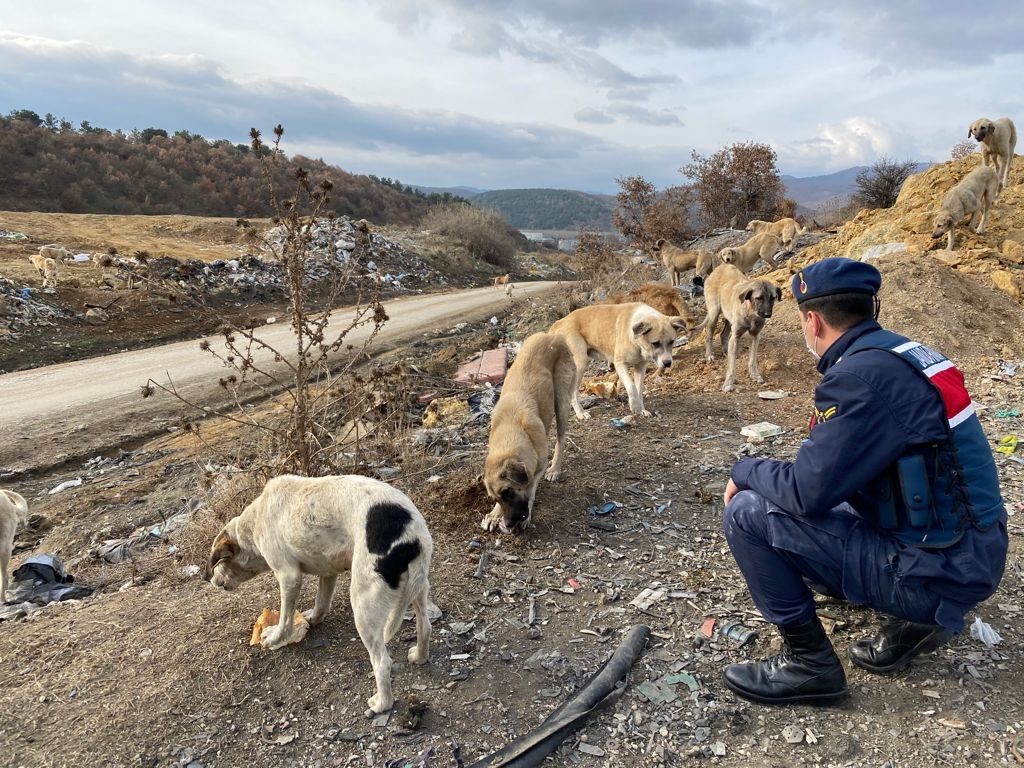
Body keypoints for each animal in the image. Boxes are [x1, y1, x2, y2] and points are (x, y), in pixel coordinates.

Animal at [205, 473, 434, 720]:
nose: (211, 580)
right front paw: (312, 620)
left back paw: (382, 703)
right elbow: (321, 603)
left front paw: (275, 638)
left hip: (364, 605)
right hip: (418, 589)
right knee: (425, 627)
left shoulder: (288, 576)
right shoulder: (328, 570)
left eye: (217, 563)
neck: (254, 522)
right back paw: (419, 656)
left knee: (382, 662)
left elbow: (285, 619)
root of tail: (412, 537)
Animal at [481, 331, 577, 536]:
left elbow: (531, 488)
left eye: (508, 492)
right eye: (496, 497)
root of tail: (552, 335)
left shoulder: (537, 467)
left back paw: (555, 468)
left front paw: (527, 515)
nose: (509, 524)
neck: (511, 427)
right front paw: (494, 514)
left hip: (562, 401)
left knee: (561, 438)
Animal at [552, 303, 688, 421]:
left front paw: (642, 409)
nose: (667, 363)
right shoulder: (620, 364)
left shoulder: (640, 367)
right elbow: (631, 387)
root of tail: (557, 323)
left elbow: (639, 389)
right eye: (655, 343)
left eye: (671, 341)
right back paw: (581, 413)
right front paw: (635, 406)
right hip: (580, 363)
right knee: (572, 392)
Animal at [700, 266, 778, 397]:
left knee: (723, 335)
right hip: (714, 312)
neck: (751, 312)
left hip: (728, 317)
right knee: (709, 334)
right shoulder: (735, 336)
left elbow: (752, 359)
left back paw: (727, 350)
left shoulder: (755, 336)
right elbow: (731, 366)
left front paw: (755, 375)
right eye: (759, 298)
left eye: (772, 298)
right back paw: (709, 355)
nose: (767, 314)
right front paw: (728, 383)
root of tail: (718, 268)